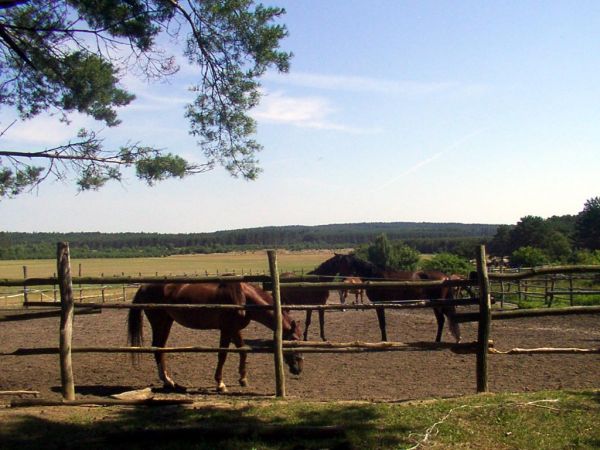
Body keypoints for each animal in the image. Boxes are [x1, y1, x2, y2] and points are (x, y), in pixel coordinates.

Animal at [127, 282, 304, 393]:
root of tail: (144, 286)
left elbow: (243, 350)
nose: (298, 369)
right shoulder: (226, 329)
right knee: (157, 348)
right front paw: (220, 384)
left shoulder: (234, 329)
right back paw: (168, 382)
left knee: (161, 347)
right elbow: (222, 354)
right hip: (159, 322)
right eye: (295, 342)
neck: (243, 297)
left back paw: (171, 383)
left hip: (167, 322)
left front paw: (243, 379)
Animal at [310, 254, 461, 343]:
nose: (342, 280)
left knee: (442, 320)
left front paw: (384, 340)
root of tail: (445, 277)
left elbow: (382, 323)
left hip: (439, 303)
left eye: (341, 263)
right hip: (436, 304)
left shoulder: (379, 303)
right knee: (441, 320)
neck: (375, 275)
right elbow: (382, 323)